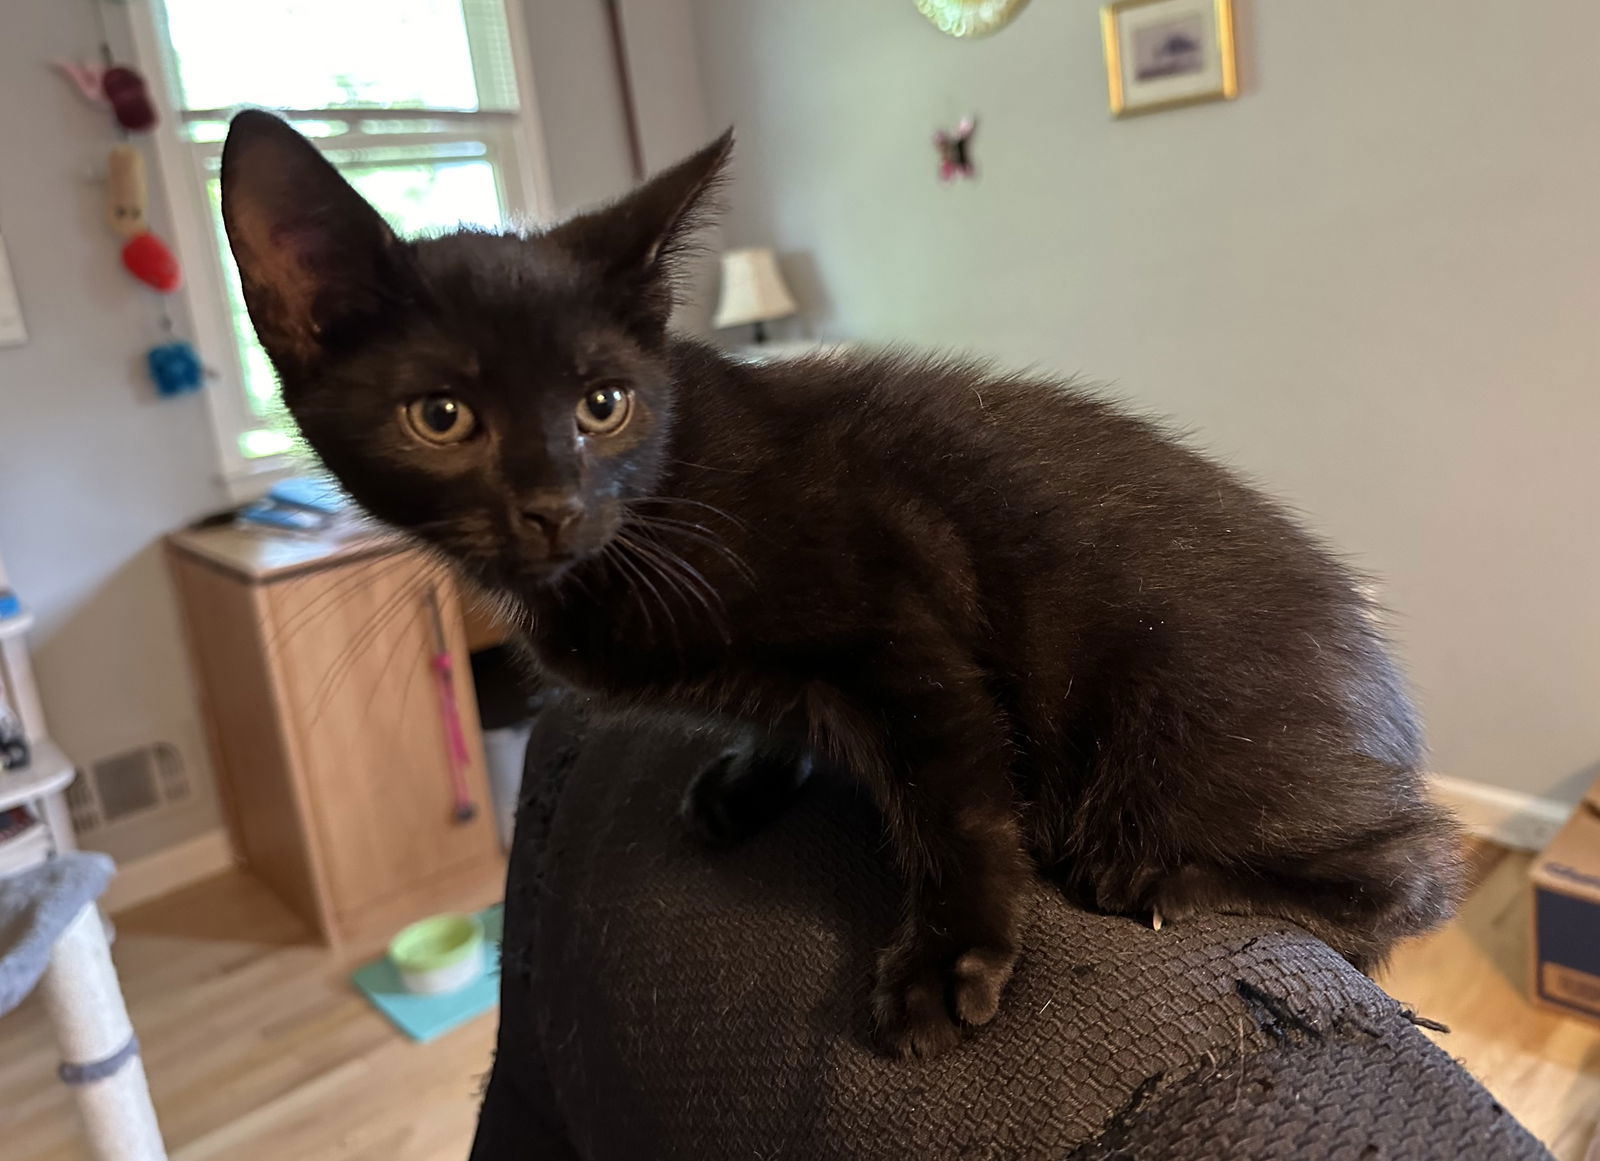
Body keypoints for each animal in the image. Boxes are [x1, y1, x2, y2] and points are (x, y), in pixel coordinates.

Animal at [222, 113, 1465, 1061]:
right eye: (441, 417)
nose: (553, 506)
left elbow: (955, 797)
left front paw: (948, 957)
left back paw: (1166, 880)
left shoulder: (900, 608)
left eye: (602, 405)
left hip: (1177, 729)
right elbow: (796, 722)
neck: (651, 513)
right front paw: (748, 774)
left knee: (1414, 873)